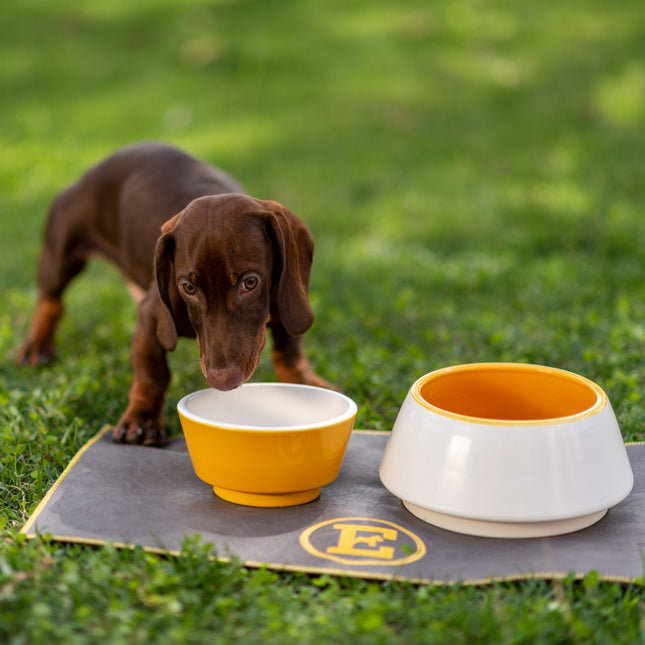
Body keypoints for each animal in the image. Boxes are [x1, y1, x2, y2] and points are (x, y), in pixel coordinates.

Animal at [15, 142, 332, 446]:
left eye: (250, 282)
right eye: (188, 288)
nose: (222, 381)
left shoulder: (288, 299)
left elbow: (289, 349)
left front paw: (304, 382)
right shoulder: (151, 317)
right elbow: (152, 372)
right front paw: (141, 420)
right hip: (60, 256)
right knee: (50, 300)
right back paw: (37, 346)